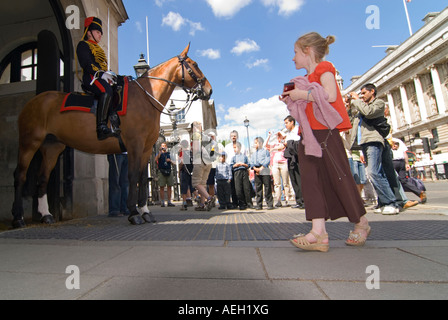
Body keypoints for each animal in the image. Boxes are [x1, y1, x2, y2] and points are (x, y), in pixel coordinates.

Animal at [10, 43, 213, 228]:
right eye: (194, 64)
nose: (209, 90)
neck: (145, 97)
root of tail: (32, 102)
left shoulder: (146, 149)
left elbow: (142, 178)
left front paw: (145, 211)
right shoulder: (135, 146)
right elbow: (133, 177)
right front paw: (133, 213)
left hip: (52, 147)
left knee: (42, 179)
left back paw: (46, 215)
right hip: (29, 143)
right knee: (20, 175)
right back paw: (18, 218)